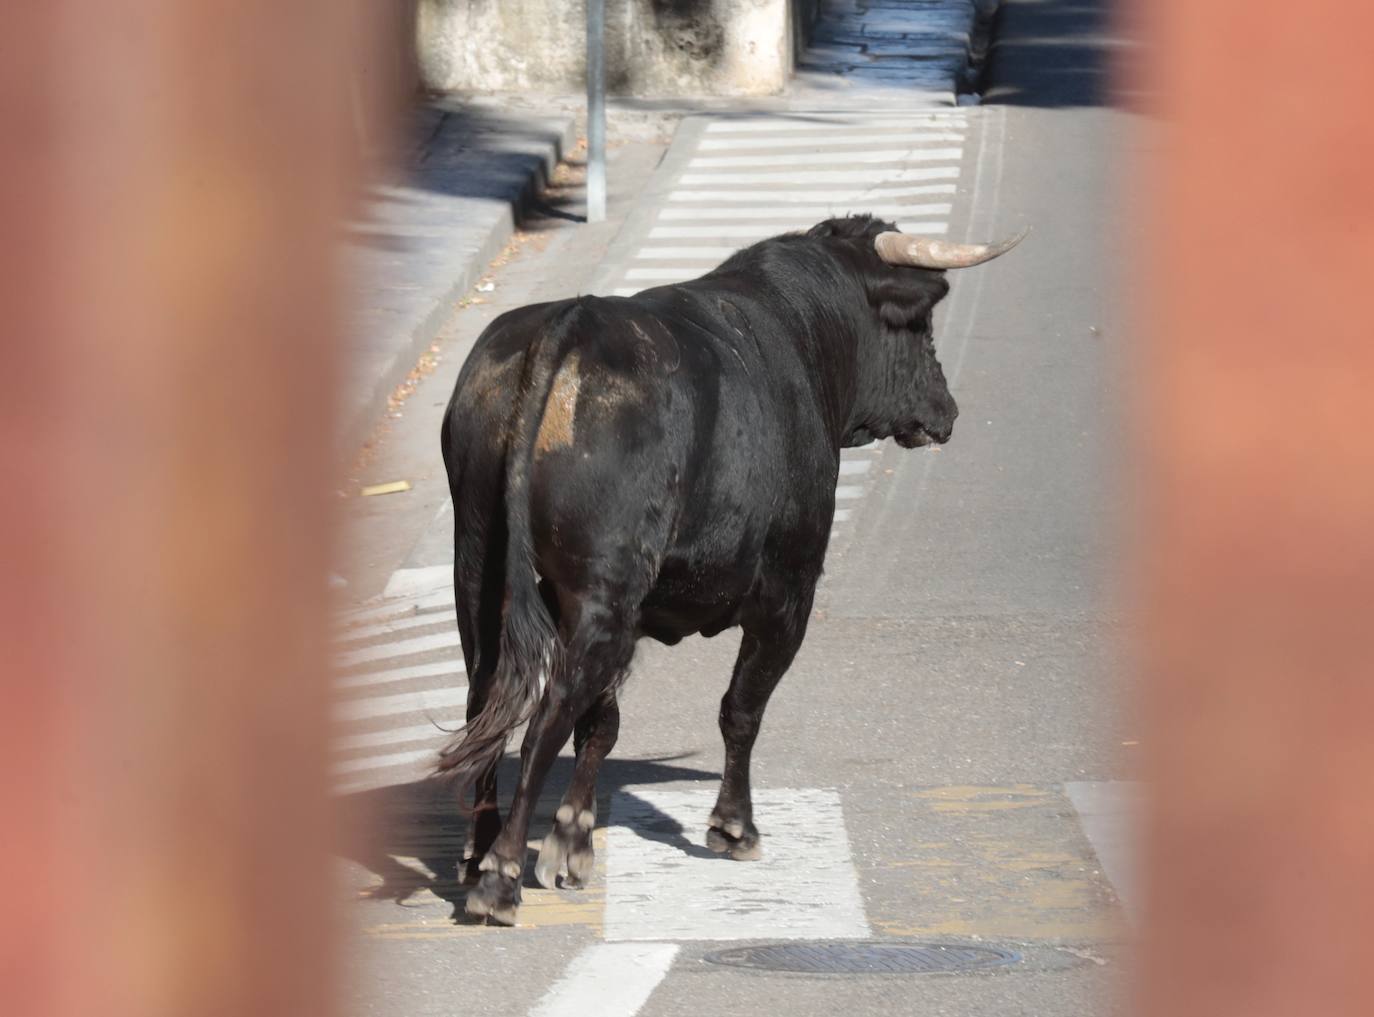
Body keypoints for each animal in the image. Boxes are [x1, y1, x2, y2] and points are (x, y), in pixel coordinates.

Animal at [436, 213, 1022, 923]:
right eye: (919, 328)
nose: (947, 410)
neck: (797, 328)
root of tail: (570, 323)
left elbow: (603, 725)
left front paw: (572, 841)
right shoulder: (788, 594)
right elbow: (741, 708)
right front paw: (735, 825)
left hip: (478, 575)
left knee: (486, 703)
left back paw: (479, 851)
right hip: (601, 596)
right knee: (544, 719)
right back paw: (499, 878)